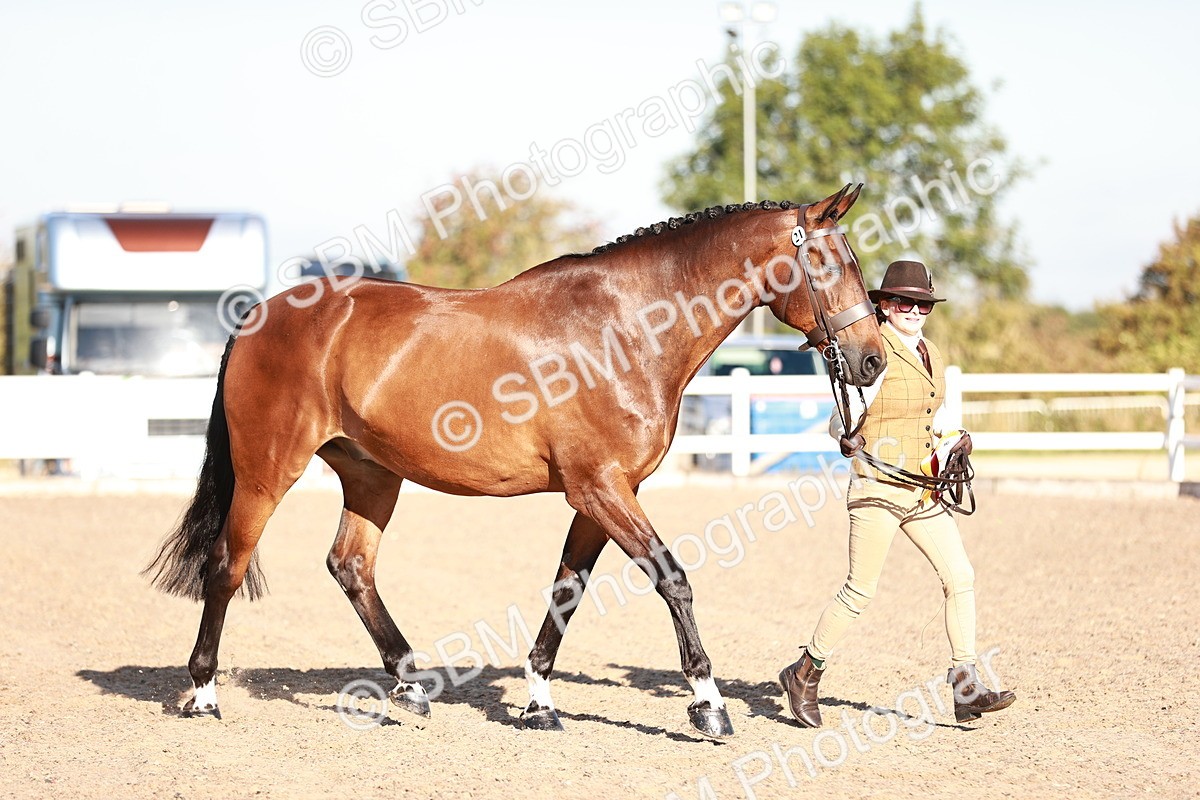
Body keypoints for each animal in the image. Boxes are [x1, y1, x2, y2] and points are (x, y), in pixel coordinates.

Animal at [144, 184, 886, 739]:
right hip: (268, 471)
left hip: (371, 473)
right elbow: (673, 579)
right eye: (832, 265)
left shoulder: (598, 495)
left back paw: (411, 687)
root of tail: (258, 316)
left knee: (350, 565)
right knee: (226, 565)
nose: (873, 360)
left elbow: (567, 592)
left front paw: (539, 702)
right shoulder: (603, 489)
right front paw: (709, 704)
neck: (626, 327)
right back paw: (204, 694)